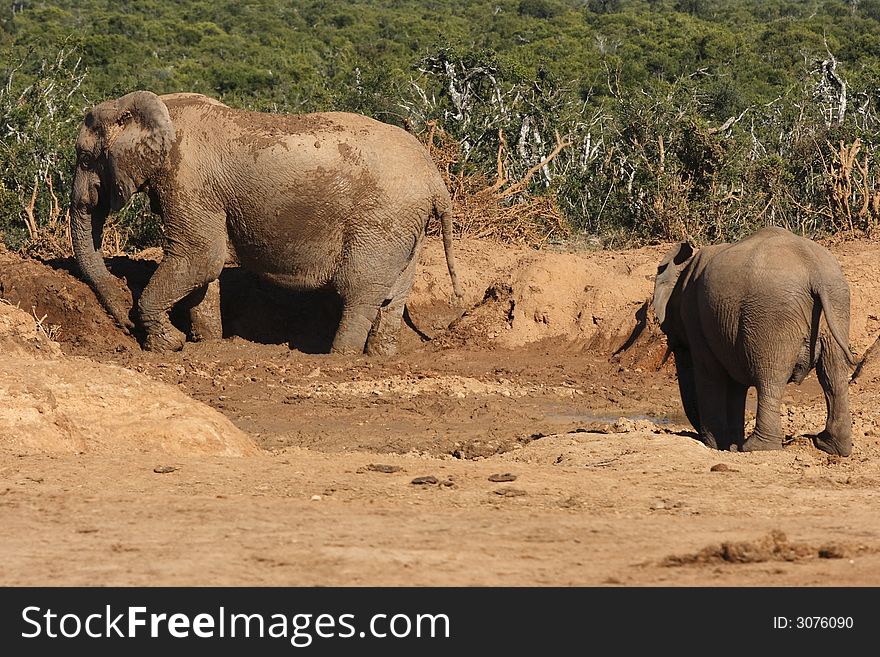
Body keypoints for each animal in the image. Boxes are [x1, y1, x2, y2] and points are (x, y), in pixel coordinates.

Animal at [72, 90, 464, 356]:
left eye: (86, 158)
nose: (124, 323)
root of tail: (435, 179)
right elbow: (203, 268)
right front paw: (206, 343)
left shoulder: (187, 178)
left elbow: (200, 257)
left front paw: (169, 345)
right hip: (407, 223)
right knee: (394, 294)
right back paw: (380, 356)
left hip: (382, 218)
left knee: (360, 291)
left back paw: (339, 357)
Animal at [652, 226, 852, 456]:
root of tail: (815, 271)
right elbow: (735, 384)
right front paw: (729, 445)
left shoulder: (696, 318)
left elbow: (709, 372)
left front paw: (717, 446)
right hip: (837, 304)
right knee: (833, 374)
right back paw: (831, 446)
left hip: (773, 315)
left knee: (771, 378)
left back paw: (756, 448)